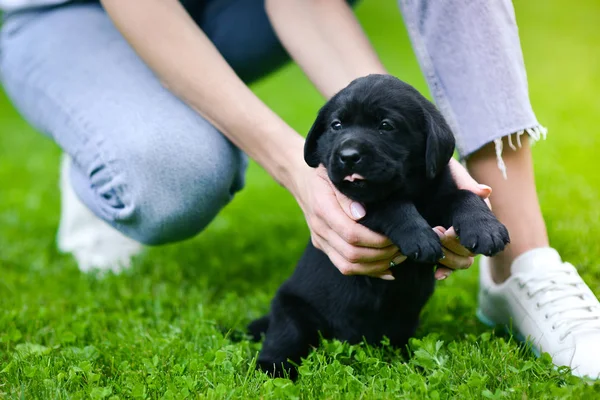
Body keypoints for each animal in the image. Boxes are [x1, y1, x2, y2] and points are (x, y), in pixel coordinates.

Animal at [251, 74, 508, 378]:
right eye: (336, 125)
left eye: (386, 126)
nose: (348, 155)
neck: (412, 190)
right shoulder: (357, 207)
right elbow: (391, 204)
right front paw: (420, 237)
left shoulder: (440, 193)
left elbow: (464, 196)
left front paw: (485, 228)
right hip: (291, 311)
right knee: (282, 341)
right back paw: (273, 371)